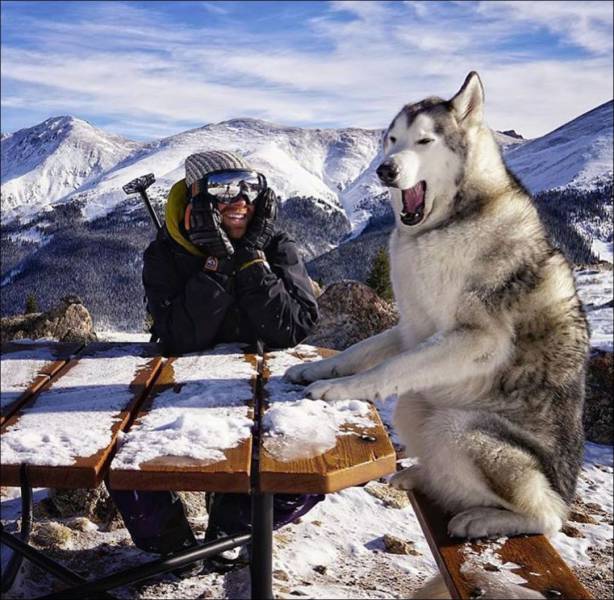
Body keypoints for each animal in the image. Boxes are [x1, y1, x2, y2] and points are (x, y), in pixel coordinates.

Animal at [288, 71, 592, 540]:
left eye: (425, 141)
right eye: (392, 140)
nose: (386, 170)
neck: (445, 224)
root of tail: (566, 492)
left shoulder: (477, 338)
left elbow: (389, 367)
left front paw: (338, 389)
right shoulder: (412, 326)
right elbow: (361, 350)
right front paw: (317, 369)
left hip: (459, 428)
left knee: (546, 518)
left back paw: (481, 519)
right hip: (419, 410)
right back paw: (420, 476)